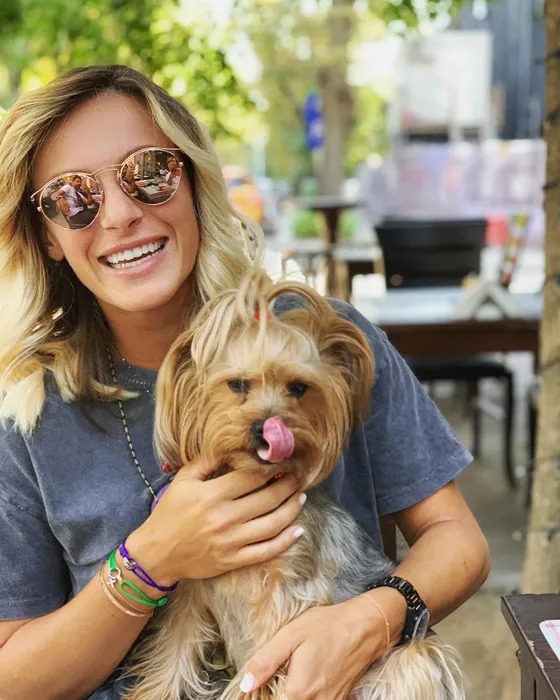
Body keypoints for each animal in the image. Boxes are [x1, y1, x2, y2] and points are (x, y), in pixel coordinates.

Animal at [124, 271, 464, 700]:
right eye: (238, 385)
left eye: (299, 388)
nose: (266, 428)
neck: (253, 485)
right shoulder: (192, 591)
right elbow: (172, 658)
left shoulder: (285, 603)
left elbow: (259, 673)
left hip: (409, 658)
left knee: (414, 658)